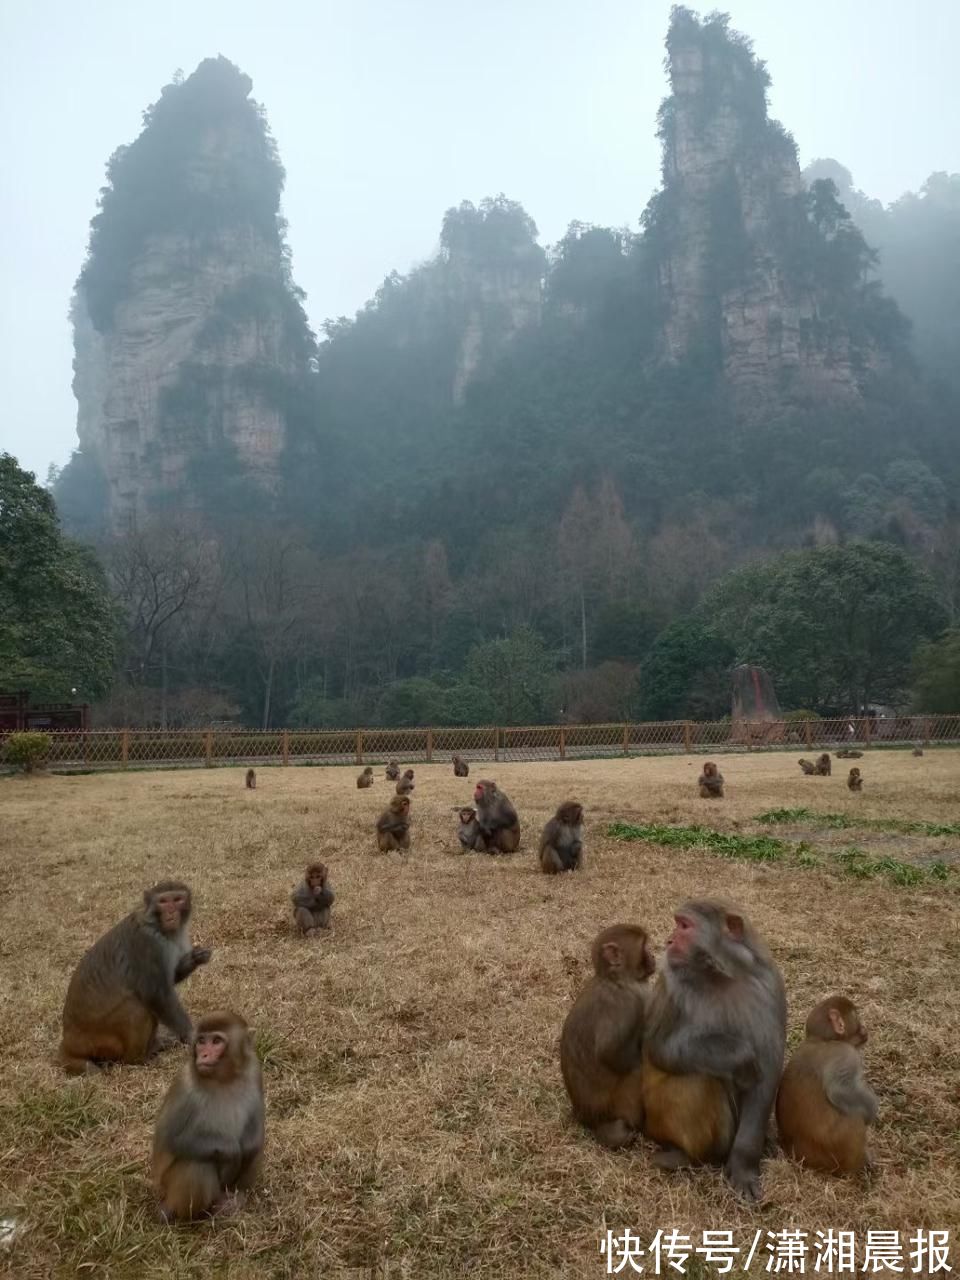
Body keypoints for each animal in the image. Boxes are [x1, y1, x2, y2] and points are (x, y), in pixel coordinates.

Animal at [61, 880, 211, 1070]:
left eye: (177, 899)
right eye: (163, 901)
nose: (171, 912)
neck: (159, 927)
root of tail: (68, 1042)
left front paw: (196, 957)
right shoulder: (147, 943)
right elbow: (158, 994)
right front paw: (191, 1036)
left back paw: (154, 1047)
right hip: (99, 1042)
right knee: (138, 1007)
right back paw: (138, 1060)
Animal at [151, 1008, 264, 1218]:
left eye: (217, 1041)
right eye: (201, 1041)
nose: (202, 1055)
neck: (224, 1078)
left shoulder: (254, 1071)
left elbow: (256, 1132)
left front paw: (246, 1147)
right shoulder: (185, 1085)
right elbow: (171, 1138)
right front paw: (231, 1151)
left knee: (255, 1148)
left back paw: (234, 1199)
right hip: (168, 1189)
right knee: (197, 1164)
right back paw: (180, 1214)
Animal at [560, 926, 660, 1146]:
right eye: (644, 947)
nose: (653, 956)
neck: (616, 979)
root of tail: (587, 1119)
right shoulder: (629, 1003)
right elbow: (610, 1052)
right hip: (620, 1107)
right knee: (634, 1073)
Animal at [647, 901, 788, 1198]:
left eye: (684, 926)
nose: (668, 941)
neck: (721, 976)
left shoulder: (769, 987)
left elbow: (766, 1076)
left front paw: (744, 1165)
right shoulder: (672, 981)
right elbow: (660, 1048)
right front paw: (740, 1056)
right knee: (700, 1078)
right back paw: (685, 1156)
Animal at [783, 993, 880, 1172]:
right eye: (856, 1017)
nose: (864, 1028)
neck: (822, 1039)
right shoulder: (845, 1054)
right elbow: (839, 1090)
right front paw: (871, 1112)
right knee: (854, 1117)